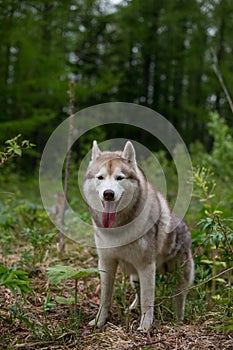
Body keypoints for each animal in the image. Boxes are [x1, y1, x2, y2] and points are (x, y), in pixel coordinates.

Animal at [83, 141, 194, 332]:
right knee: (138, 293)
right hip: (134, 277)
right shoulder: (106, 262)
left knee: (179, 299)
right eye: (100, 177)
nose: (108, 194)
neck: (118, 228)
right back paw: (133, 307)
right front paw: (99, 322)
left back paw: (179, 320)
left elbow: (148, 301)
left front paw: (145, 327)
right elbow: (105, 298)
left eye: (120, 178)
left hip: (178, 277)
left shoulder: (147, 266)